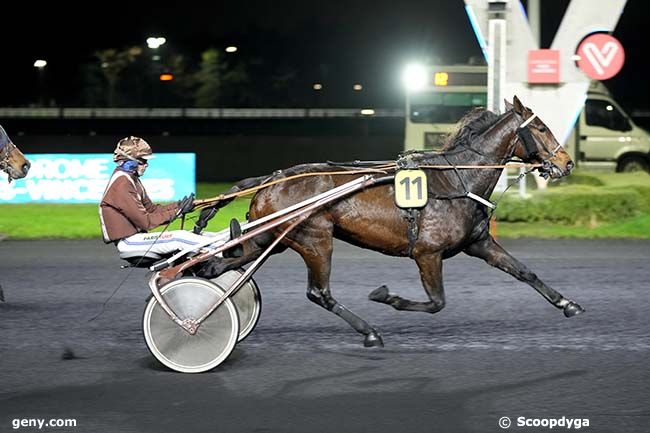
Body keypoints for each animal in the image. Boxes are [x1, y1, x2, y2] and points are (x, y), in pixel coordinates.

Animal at [197, 96, 584, 346]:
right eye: (543, 128)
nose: (566, 163)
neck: (457, 180)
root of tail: (270, 179)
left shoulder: (479, 243)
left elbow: (524, 272)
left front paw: (568, 304)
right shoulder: (427, 253)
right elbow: (437, 302)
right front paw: (387, 297)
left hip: (268, 241)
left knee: (219, 267)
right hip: (315, 240)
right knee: (319, 292)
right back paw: (369, 331)